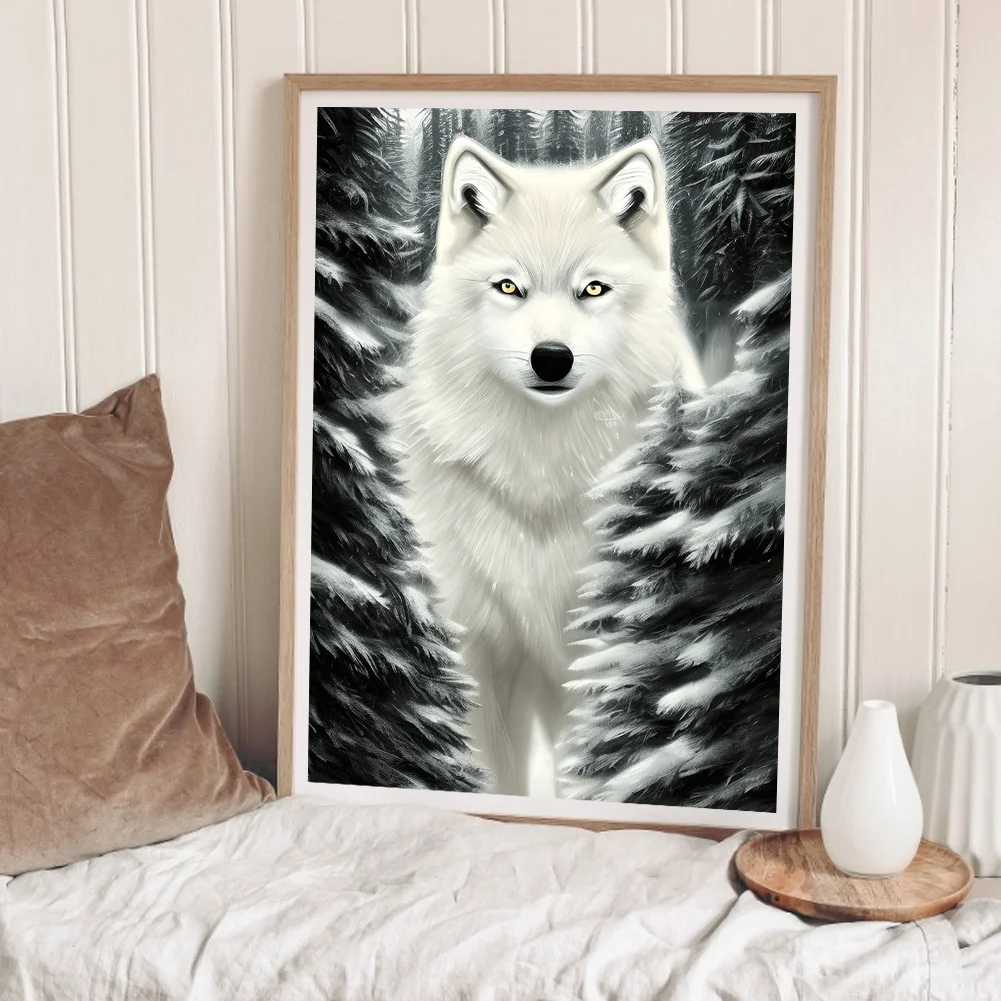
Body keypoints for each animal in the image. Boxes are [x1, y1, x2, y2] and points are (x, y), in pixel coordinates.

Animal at [400, 134, 704, 798]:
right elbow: (490, 771)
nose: (551, 358)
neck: (541, 473)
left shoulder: (595, 653)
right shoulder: (479, 648)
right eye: (509, 287)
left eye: (592, 290)